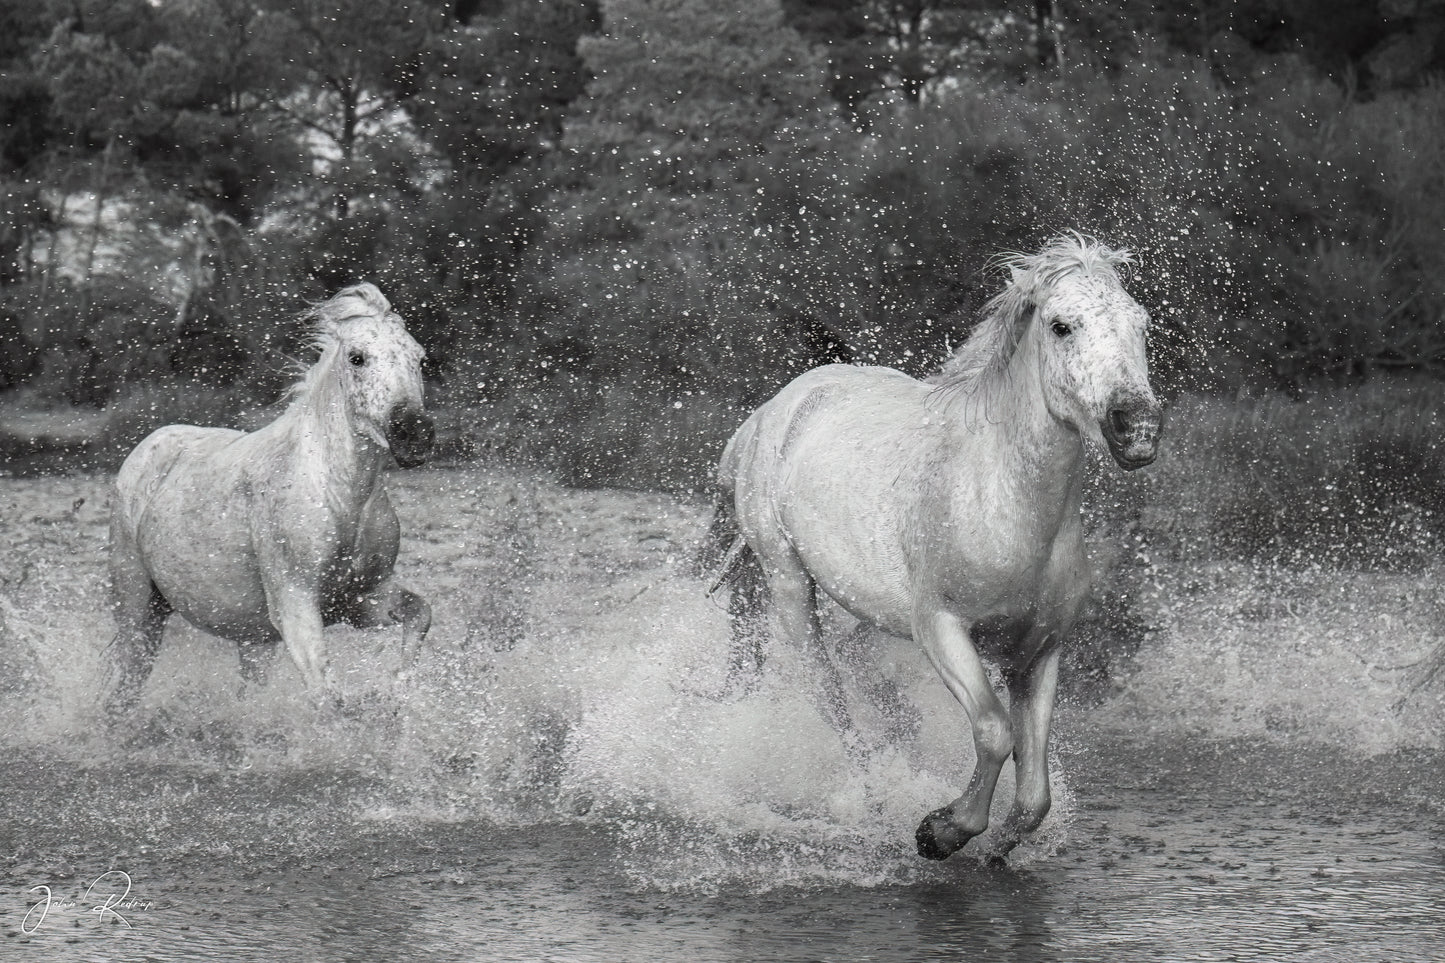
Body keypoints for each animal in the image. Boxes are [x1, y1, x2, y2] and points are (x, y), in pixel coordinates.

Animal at [103, 283, 436, 715]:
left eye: (420, 358)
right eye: (357, 358)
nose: (414, 433)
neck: (339, 495)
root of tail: (147, 446)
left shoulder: (359, 599)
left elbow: (419, 613)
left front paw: (397, 693)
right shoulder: (296, 603)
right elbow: (329, 698)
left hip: (251, 638)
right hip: (138, 607)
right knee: (124, 686)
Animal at [703, 234, 1162, 861]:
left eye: (1141, 324)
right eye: (1062, 326)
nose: (1136, 427)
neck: (1001, 504)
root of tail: (780, 405)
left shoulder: (1039, 651)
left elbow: (1035, 793)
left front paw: (994, 850)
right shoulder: (941, 627)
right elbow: (994, 731)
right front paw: (939, 831)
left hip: (866, 612)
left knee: (865, 685)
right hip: (787, 580)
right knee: (827, 692)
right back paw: (873, 797)